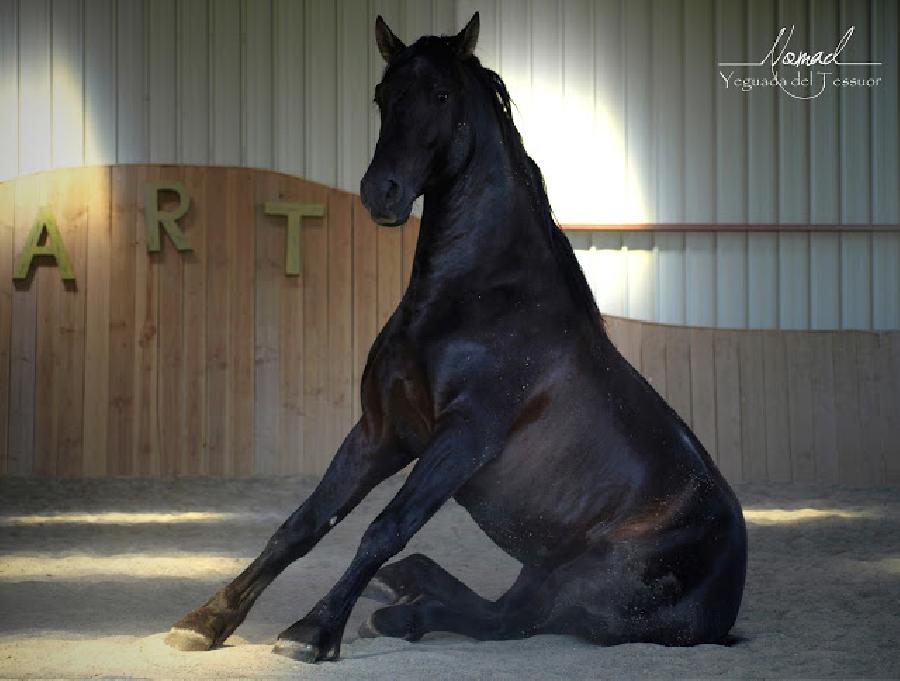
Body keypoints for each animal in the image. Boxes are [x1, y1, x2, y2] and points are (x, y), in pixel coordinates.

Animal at [163, 13, 744, 660]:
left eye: (441, 95)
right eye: (382, 95)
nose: (382, 192)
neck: (479, 302)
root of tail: (726, 599)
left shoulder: (462, 439)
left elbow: (383, 528)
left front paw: (311, 632)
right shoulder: (383, 431)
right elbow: (304, 524)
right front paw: (206, 621)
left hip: (581, 581)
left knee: (509, 621)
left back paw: (398, 611)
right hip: (544, 567)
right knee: (494, 609)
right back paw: (400, 593)